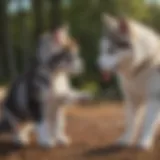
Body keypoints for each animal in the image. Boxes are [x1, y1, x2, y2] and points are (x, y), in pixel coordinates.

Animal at [97, 13, 160, 150]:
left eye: (110, 50)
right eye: (102, 50)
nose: (97, 67)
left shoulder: (154, 97)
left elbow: (148, 122)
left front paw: (144, 141)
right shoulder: (132, 98)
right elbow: (131, 122)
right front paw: (126, 139)